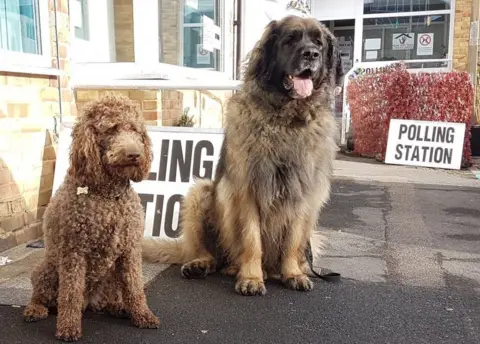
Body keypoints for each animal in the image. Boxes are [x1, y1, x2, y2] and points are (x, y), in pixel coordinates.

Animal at [22, 93, 160, 342]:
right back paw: (34, 309)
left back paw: (118, 307)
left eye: (135, 129)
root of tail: (89, 302)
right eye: (111, 128)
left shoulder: (130, 250)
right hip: (47, 269)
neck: (108, 195)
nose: (135, 154)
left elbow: (135, 287)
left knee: (106, 301)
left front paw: (143, 315)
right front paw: (68, 327)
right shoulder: (74, 252)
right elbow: (70, 294)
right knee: (44, 295)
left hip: (110, 274)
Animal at [142, 15, 342, 296]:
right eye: (290, 40)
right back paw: (207, 265)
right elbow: (251, 239)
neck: (285, 119)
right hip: (201, 193)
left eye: (319, 44)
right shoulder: (247, 191)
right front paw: (251, 277)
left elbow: (292, 241)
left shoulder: (303, 195)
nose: (311, 54)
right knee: (211, 253)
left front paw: (292, 273)